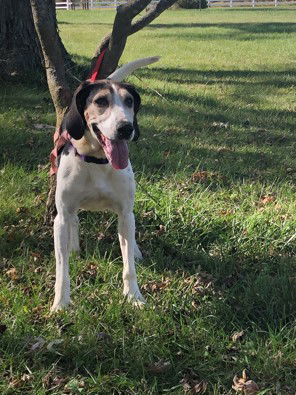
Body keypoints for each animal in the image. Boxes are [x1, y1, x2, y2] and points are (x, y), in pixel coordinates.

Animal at [50, 56, 160, 312]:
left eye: (129, 101)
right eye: (101, 101)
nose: (126, 128)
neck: (97, 159)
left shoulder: (125, 213)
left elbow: (129, 266)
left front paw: (134, 296)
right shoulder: (61, 217)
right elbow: (62, 269)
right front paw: (61, 303)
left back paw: (135, 250)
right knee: (74, 221)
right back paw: (73, 246)